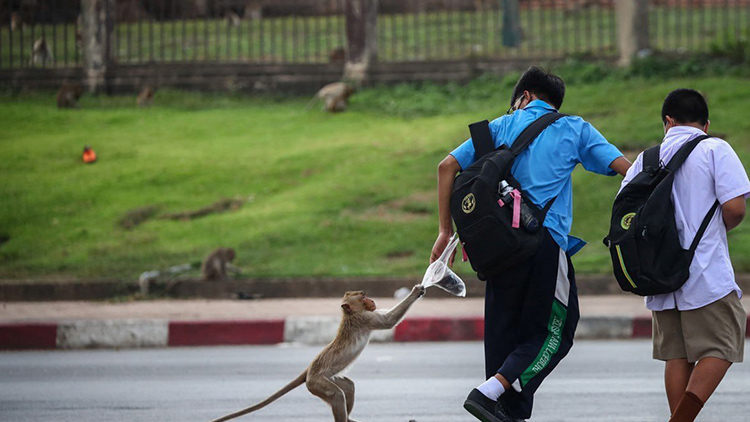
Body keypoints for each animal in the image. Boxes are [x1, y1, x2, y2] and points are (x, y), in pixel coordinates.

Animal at [212, 284, 426, 422]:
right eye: (363, 297)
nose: (372, 300)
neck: (350, 314)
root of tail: (309, 371)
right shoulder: (365, 318)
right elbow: (389, 321)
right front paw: (416, 292)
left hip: (326, 379)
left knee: (347, 387)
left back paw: (349, 417)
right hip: (317, 383)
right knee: (337, 395)